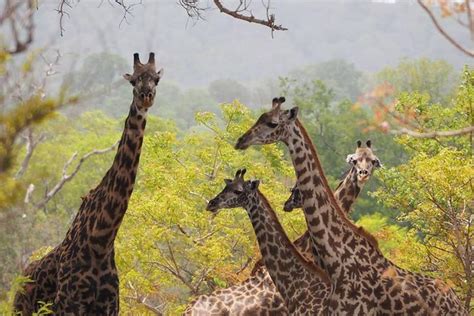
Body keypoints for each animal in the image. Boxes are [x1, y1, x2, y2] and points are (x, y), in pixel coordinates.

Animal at [13, 53, 165, 314]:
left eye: (156, 79)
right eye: (133, 80)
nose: (146, 96)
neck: (100, 240)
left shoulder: (110, 307)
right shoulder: (69, 306)